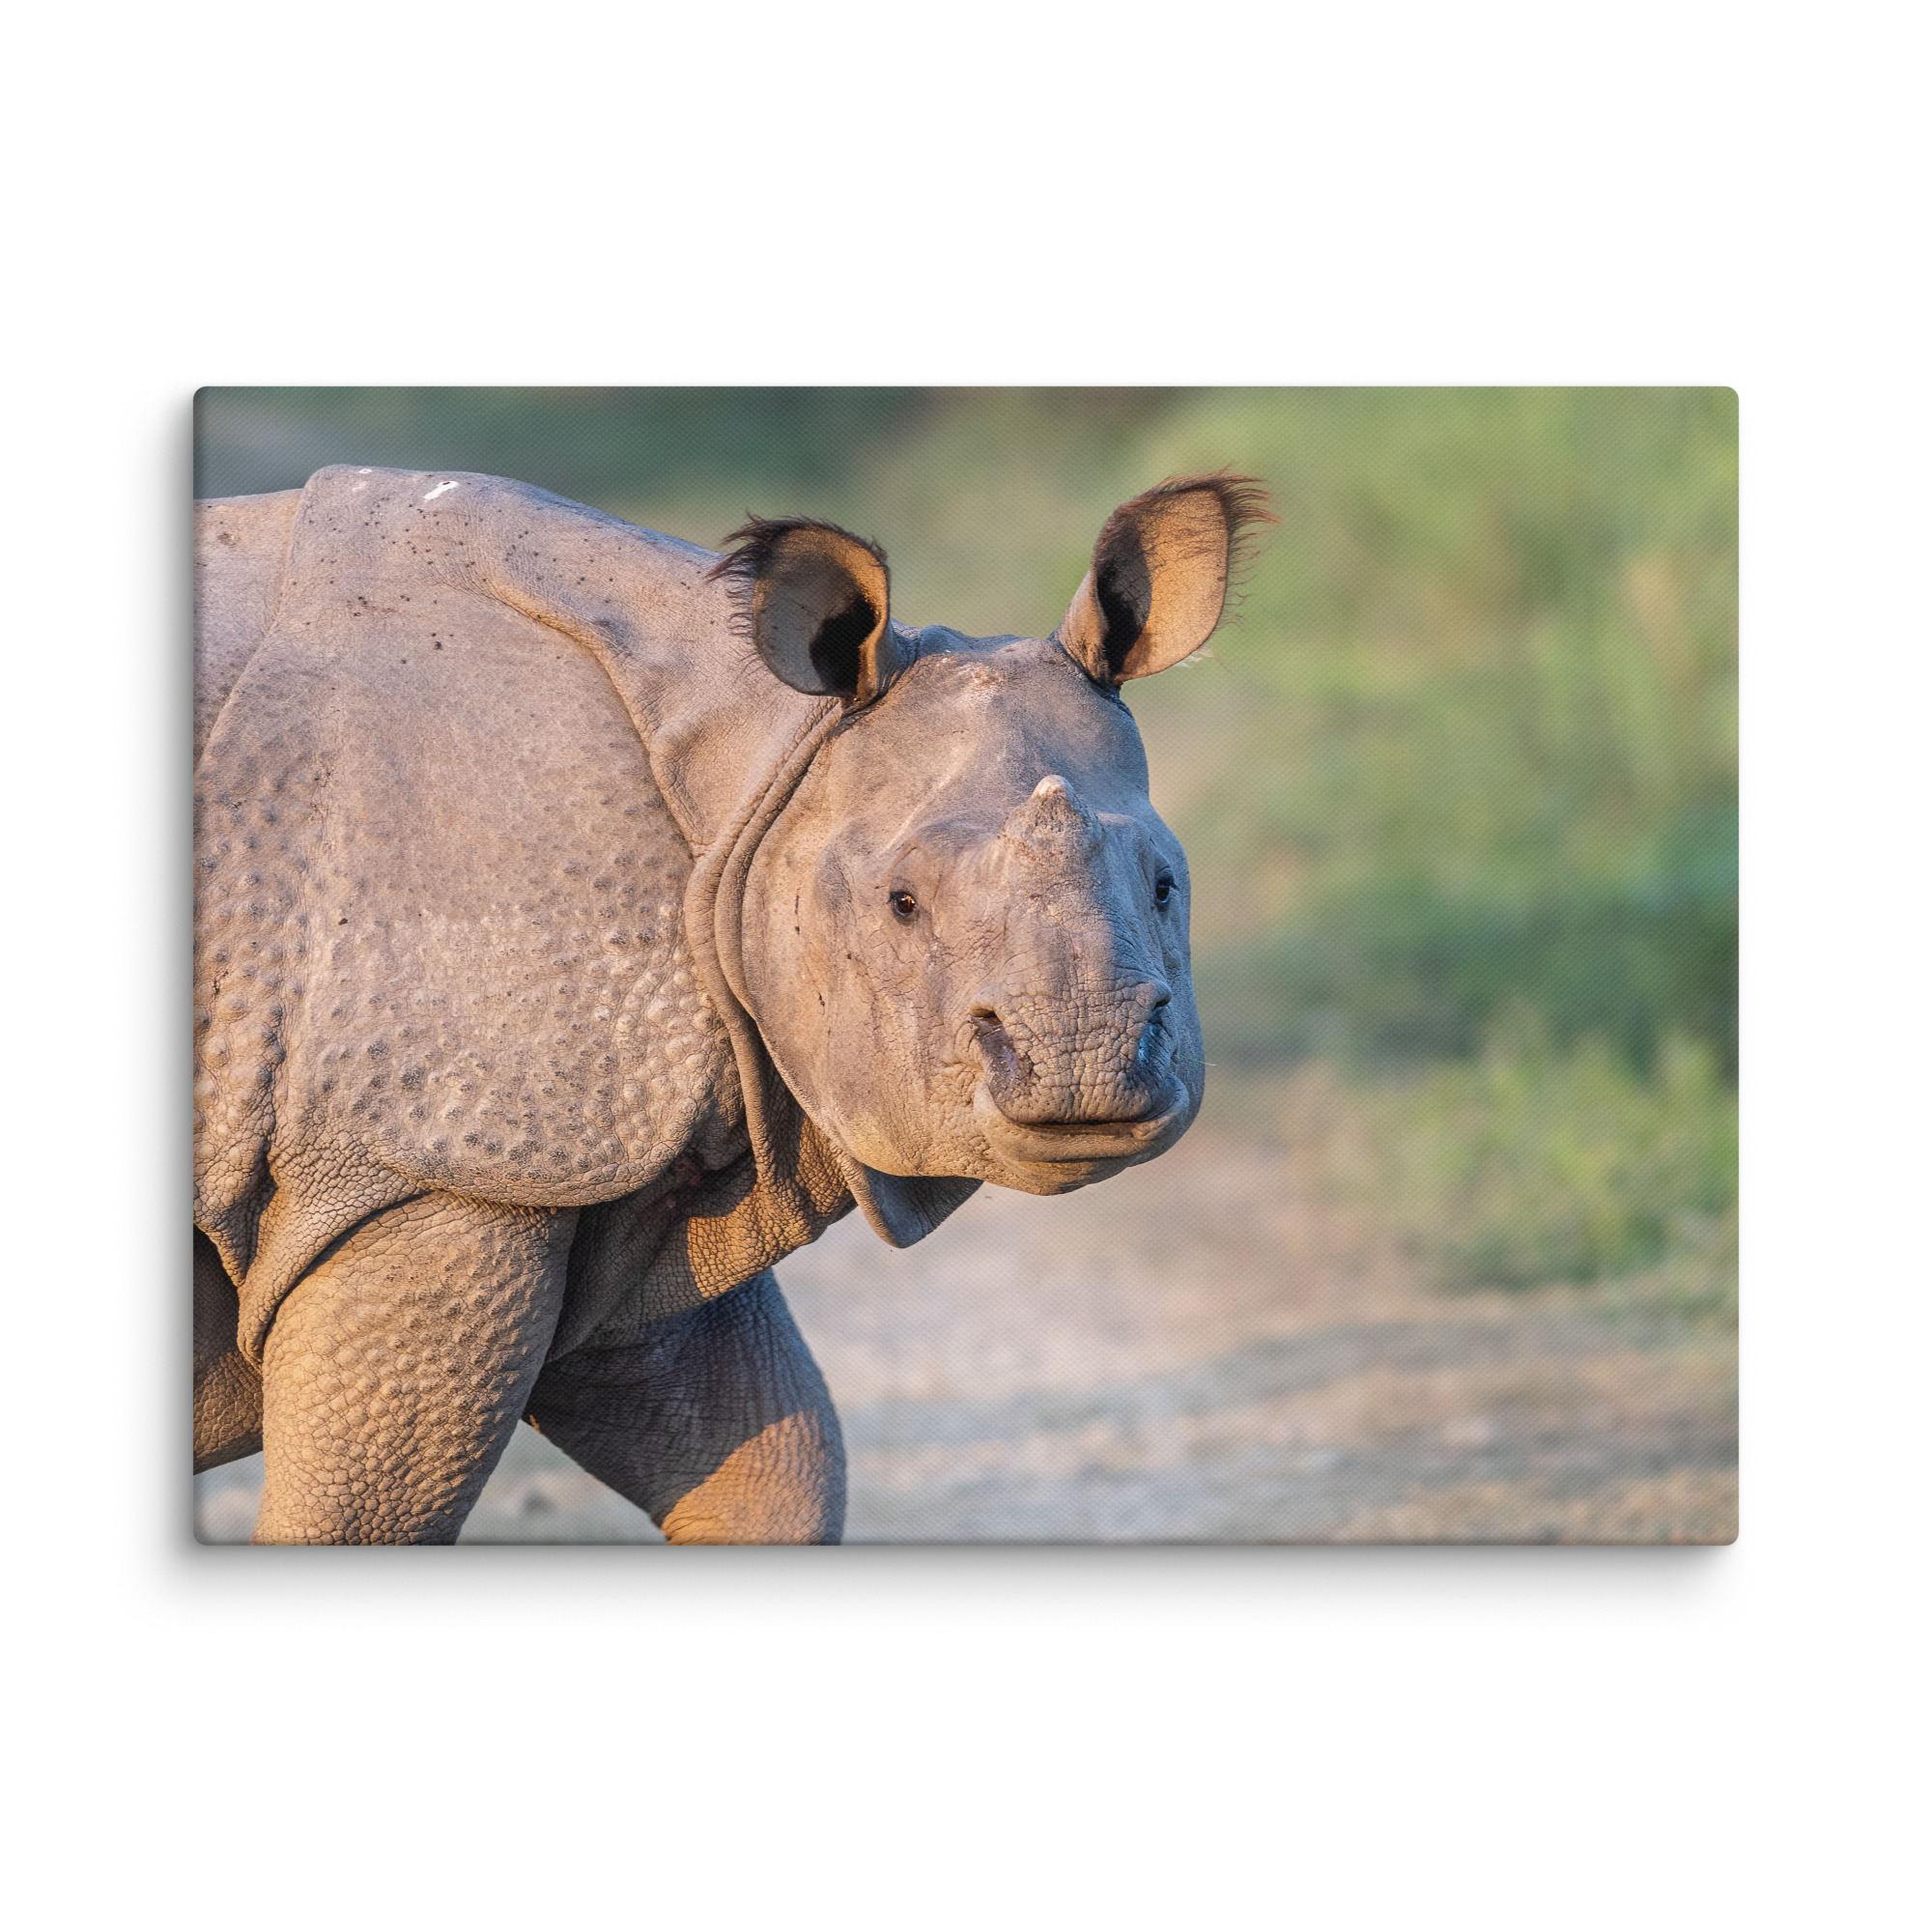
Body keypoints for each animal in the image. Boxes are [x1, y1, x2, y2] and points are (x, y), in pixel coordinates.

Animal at [193, 463, 1270, 1543]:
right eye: (902, 903)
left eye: (1165, 887)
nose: (1084, 1062)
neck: (764, 768)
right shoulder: (437, 1164)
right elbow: (362, 1519)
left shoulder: (607, 1168)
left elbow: (774, 1461)